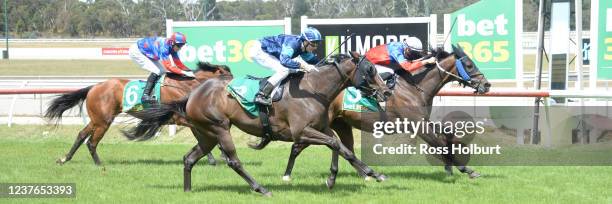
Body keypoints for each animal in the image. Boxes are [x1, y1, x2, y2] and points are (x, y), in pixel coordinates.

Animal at [43, 62, 230, 166]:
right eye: (229, 77)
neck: (185, 86)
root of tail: (94, 87)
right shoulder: (180, 117)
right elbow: (204, 136)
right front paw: (219, 155)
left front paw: (216, 155)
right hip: (103, 121)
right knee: (91, 142)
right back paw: (98, 164)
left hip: (97, 119)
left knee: (82, 135)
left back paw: (65, 159)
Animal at [124, 52, 392, 196]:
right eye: (369, 69)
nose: (386, 91)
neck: (313, 90)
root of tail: (193, 94)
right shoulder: (301, 132)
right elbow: (336, 144)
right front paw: (372, 173)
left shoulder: (320, 128)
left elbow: (340, 146)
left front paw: (359, 175)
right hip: (219, 128)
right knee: (233, 160)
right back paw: (260, 188)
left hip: (206, 134)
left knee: (189, 158)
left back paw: (188, 191)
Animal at [253, 45, 492, 186]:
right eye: (469, 64)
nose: (487, 85)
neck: (415, 87)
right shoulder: (416, 123)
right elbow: (440, 143)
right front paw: (465, 169)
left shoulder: (423, 121)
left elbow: (446, 137)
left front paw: (452, 166)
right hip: (318, 123)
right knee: (304, 145)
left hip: (338, 124)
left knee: (339, 146)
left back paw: (358, 174)